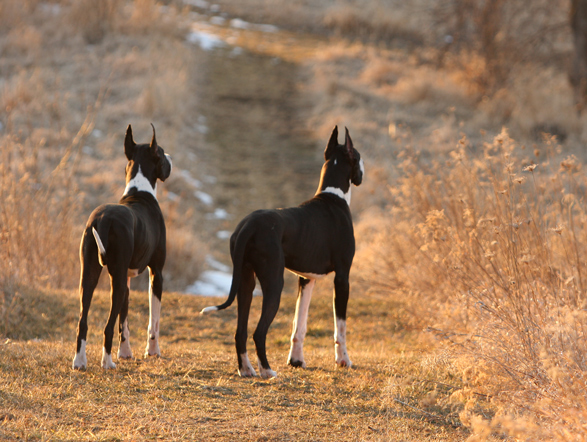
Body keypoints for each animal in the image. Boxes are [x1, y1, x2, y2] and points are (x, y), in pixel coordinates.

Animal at [72, 124, 171, 370]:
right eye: (161, 153)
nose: (170, 157)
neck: (139, 191)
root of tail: (103, 219)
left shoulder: (126, 277)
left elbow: (123, 321)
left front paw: (125, 353)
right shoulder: (156, 273)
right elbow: (153, 321)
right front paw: (152, 351)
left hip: (89, 275)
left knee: (83, 322)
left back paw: (79, 361)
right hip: (114, 279)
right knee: (107, 326)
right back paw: (107, 363)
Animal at [204, 126, 366, 378]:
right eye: (357, 156)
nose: (363, 169)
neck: (333, 196)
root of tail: (249, 225)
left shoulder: (306, 279)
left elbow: (299, 323)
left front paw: (296, 360)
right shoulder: (342, 277)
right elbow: (340, 326)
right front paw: (343, 360)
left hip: (245, 281)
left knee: (241, 331)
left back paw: (247, 369)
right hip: (274, 283)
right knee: (259, 331)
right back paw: (267, 370)